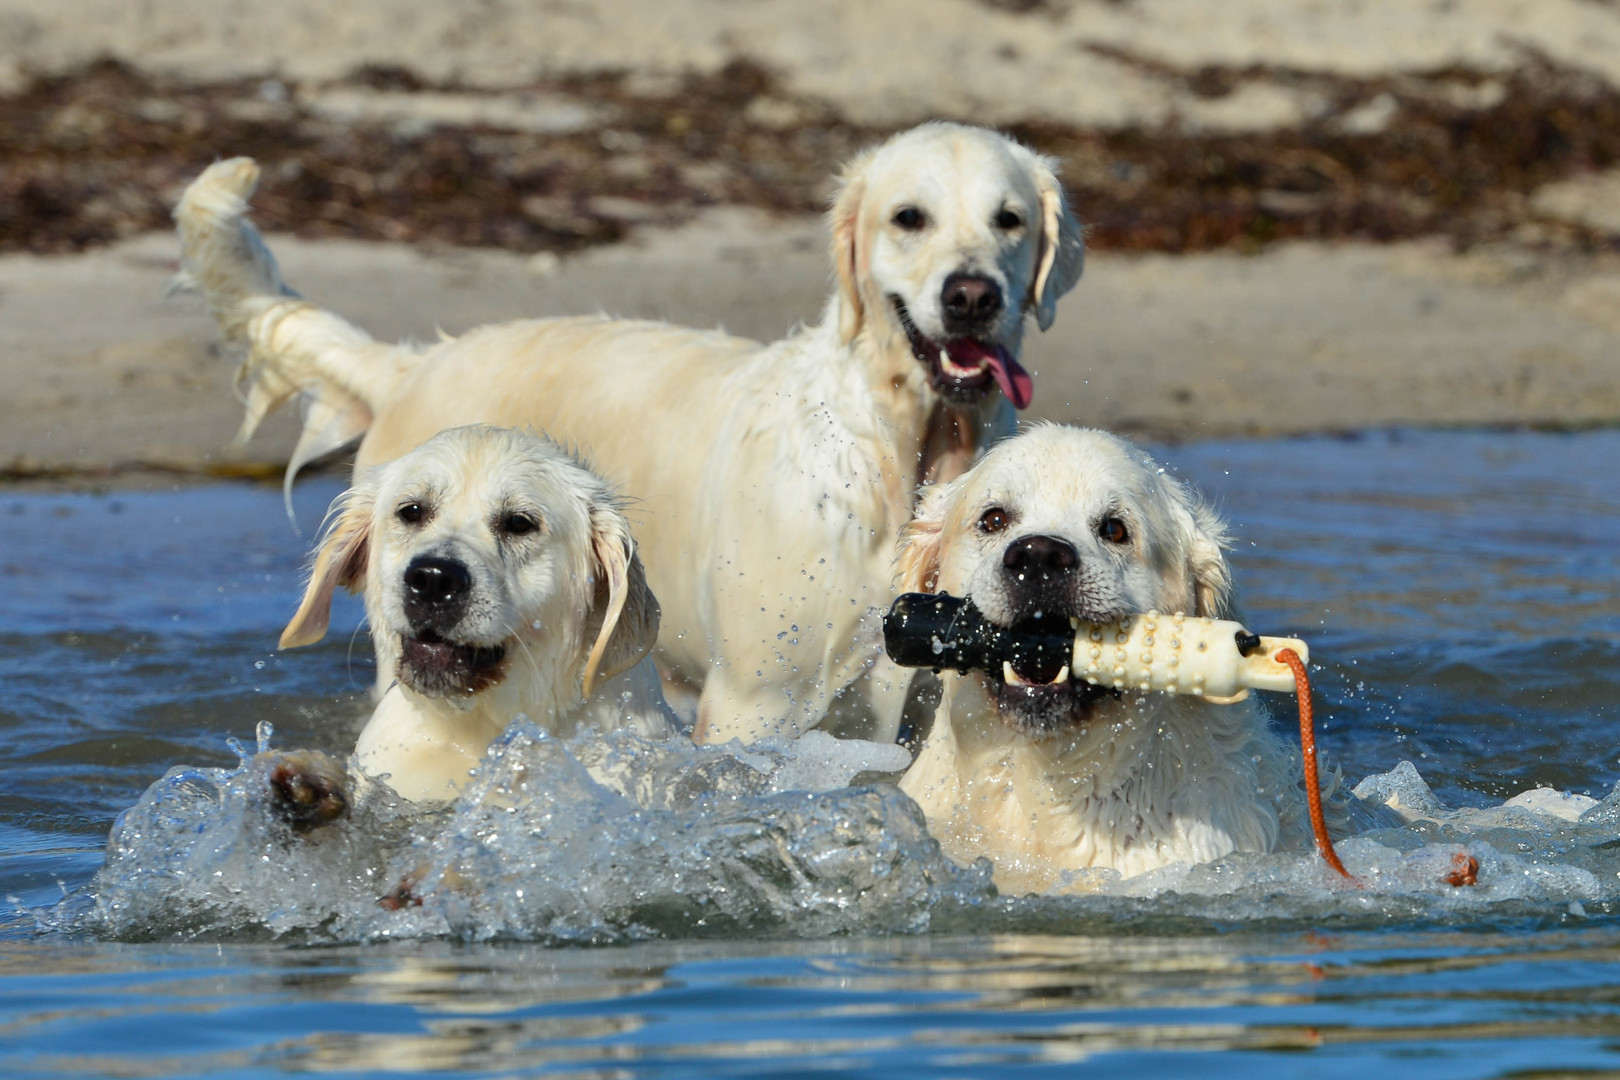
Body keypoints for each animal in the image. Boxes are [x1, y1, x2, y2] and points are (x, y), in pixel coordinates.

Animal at [174, 120, 1088, 744]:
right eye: (909, 218)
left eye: (1009, 220)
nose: (971, 295)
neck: (907, 450)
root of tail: (410, 364)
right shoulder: (757, 702)